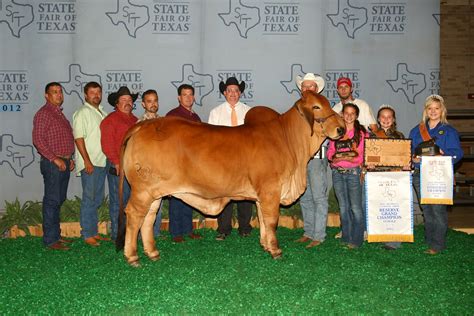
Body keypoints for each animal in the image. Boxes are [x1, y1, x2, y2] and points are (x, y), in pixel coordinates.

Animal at [116, 91, 342, 266]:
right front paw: (276, 250)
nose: (342, 128)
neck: (288, 140)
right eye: (316, 107)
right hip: (142, 191)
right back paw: (133, 256)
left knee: (148, 218)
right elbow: (271, 221)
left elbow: (262, 219)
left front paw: (265, 245)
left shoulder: (262, 195)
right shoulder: (271, 190)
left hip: (154, 194)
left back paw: (153, 253)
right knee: (134, 215)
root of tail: (144, 125)